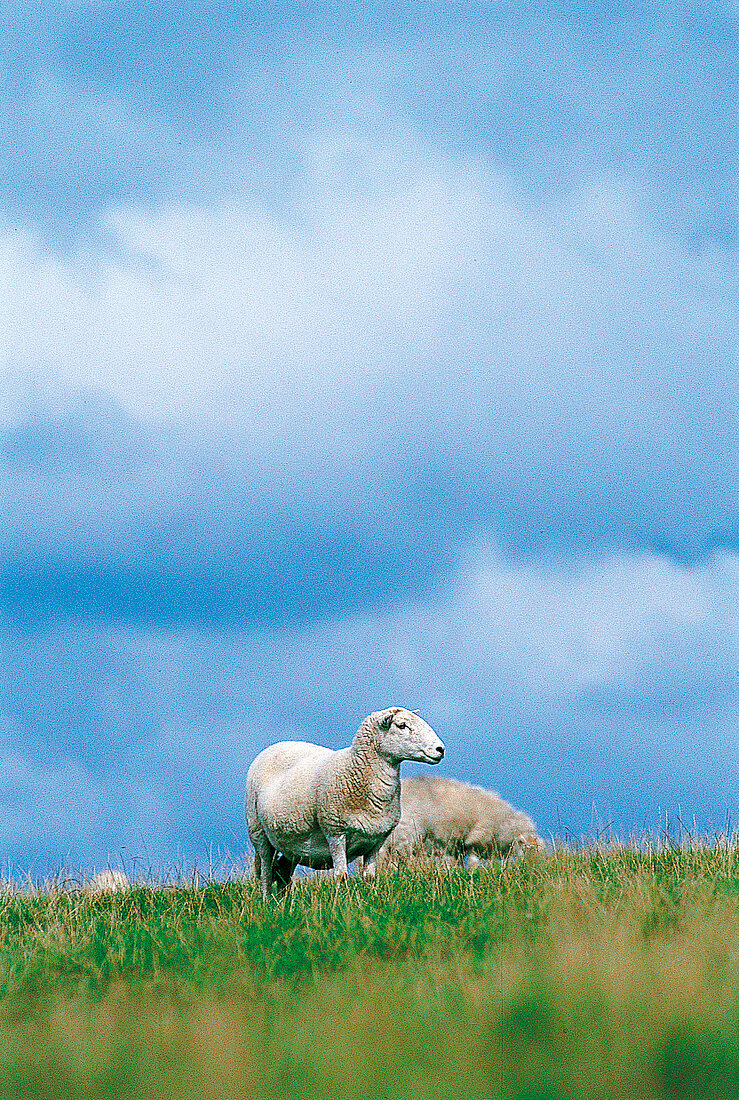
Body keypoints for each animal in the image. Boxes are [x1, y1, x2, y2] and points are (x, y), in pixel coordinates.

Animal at [246, 708, 444, 897]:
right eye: (402, 725)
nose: (440, 749)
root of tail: (277, 745)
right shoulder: (335, 831)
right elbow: (341, 875)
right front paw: (342, 901)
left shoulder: (377, 839)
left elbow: (370, 877)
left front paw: (372, 899)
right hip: (258, 831)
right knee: (266, 872)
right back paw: (267, 901)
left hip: (293, 842)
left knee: (282, 871)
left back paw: (284, 903)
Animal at [376, 774, 543, 866]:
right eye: (529, 849)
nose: (536, 867)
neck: (506, 824)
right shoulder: (476, 839)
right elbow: (474, 862)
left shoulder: (456, 847)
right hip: (407, 835)